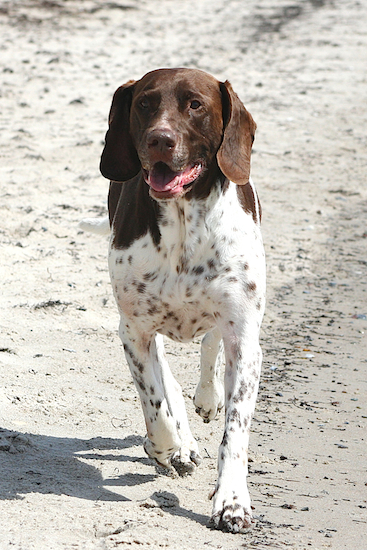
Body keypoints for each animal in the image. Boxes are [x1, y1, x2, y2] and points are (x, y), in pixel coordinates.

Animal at [83, 69, 268, 536]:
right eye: (145, 104)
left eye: (195, 105)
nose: (160, 140)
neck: (185, 223)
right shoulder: (134, 330)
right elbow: (155, 401)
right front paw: (169, 446)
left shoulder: (244, 337)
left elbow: (235, 431)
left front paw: (232, 502)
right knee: (164, 375)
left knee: (209, 346)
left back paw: (207, 397)